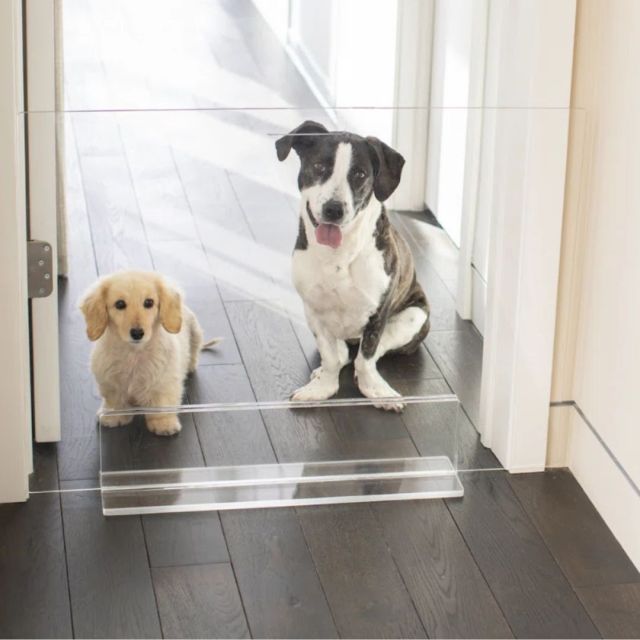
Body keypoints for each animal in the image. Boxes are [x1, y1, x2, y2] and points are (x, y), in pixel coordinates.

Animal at [76, 270, 218, 436]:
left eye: (149, 302)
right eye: (120, 304)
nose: (137, 333)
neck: (134, 353)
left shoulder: (164, 383)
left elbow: (162, 405)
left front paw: (164, 424)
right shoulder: (110, 383)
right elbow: (116, 402)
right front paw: (114, 417)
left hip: (196, 333)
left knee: (194, 354)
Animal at [276, 120, 430, 410]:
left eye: (359, 174)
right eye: (319, 167)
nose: (334, 209)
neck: (338, 254)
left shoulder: (378, 313)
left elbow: (367, 356)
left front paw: (375, 391)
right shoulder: (314, 311)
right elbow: (330, 357)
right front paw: (322, 388)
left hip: (415, 317)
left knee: (371, 352)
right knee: (342, 354)